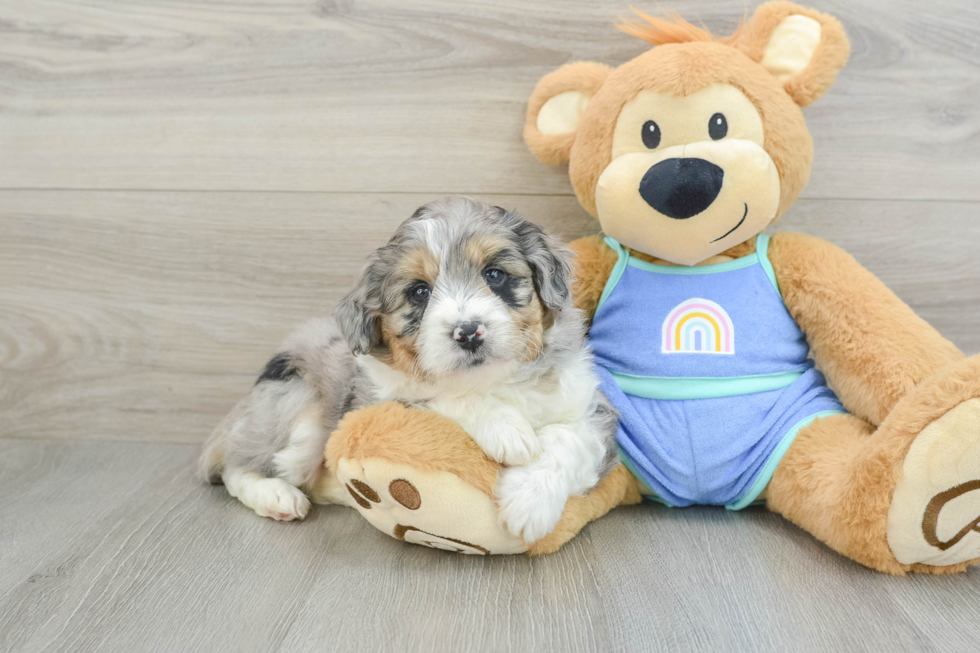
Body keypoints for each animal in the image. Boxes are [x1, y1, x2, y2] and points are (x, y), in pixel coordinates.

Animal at [199, 196, 616, 544]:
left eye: (494, 275)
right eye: (419, 292)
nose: (468, 332)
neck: (493, 379)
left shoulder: (592, 411)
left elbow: (567, 439)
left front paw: (530, 503)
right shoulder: (375, 400)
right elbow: (439, 394)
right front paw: (507, 430)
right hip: (296, 408)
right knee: (239, 465)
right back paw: (276, 496)